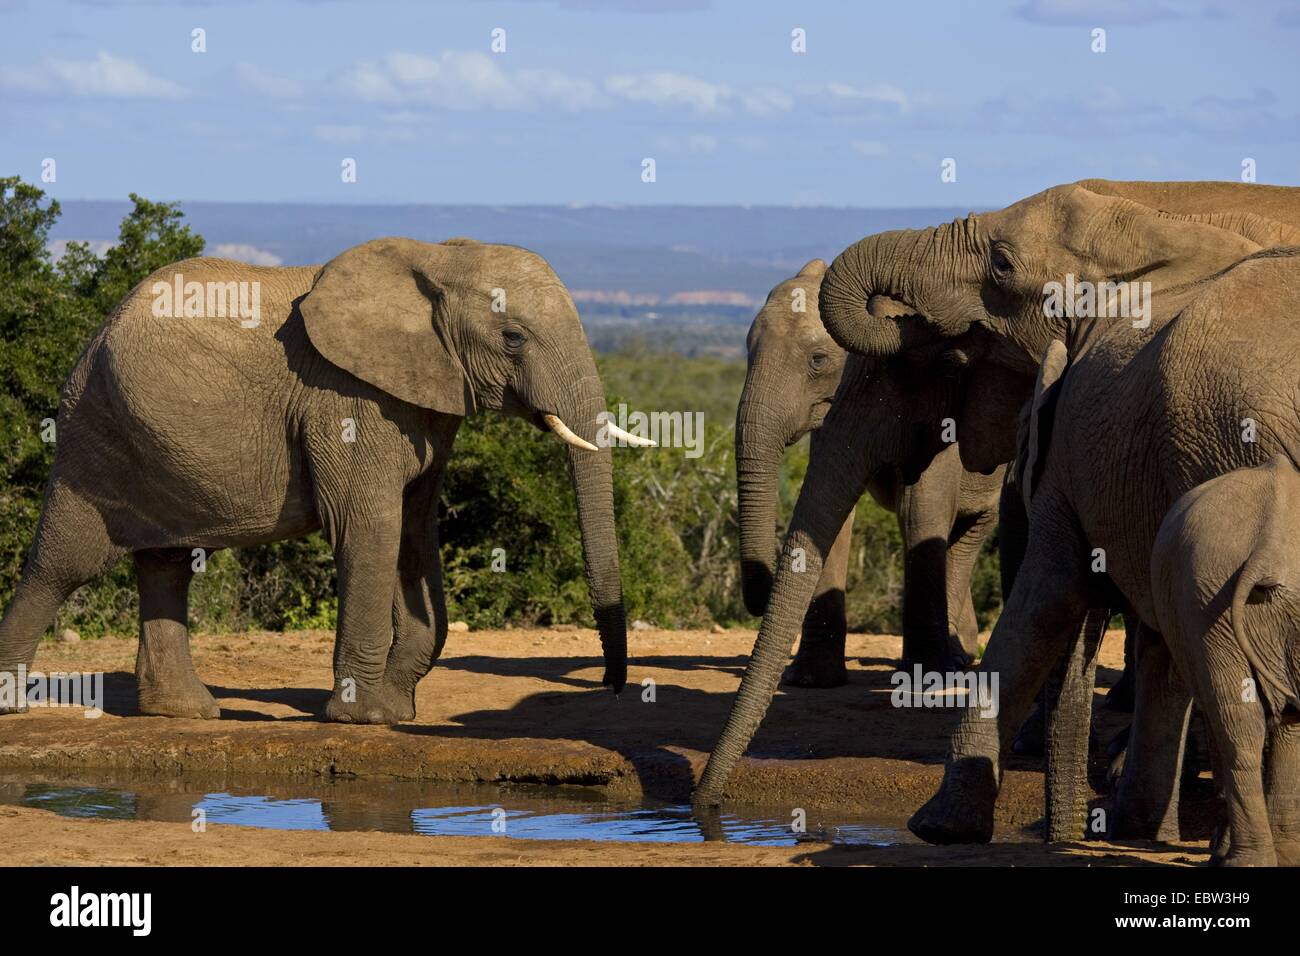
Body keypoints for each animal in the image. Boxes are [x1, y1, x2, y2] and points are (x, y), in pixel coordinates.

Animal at [0, 235, 647, 723]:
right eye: (513, 338)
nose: (614, 688)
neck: (439, 260)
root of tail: (97, 330)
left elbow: (416, 532)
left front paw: (396, 712)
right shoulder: (345, 398)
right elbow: (370, 528)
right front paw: (362, 717)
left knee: (166, 564)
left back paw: (186, 713)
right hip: (94, 428)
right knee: (65, 564)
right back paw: (15, 705)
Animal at [738, 254, 998, 686]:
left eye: (818, 360)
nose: (757, 602)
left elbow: (920, 508)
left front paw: (926, 678)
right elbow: (833, 513)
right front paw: (812, 681)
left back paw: (956, 659)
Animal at [1154, 455, 1300, 868]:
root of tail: (1270, 543)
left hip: (1206, 593)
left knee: (1240, 721)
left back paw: (1256, 858)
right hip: (1207, 591)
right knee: (1244, 720)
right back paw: (1255, 859)